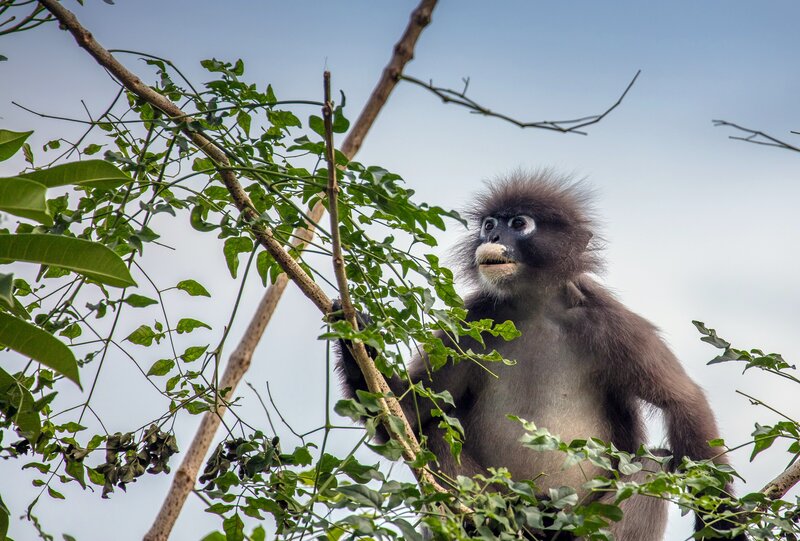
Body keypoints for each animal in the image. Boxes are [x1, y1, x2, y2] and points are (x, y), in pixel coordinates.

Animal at [335, 172, 744, 540]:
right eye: (489, 225)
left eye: (519, 223)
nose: (493, 237)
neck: (534, 309)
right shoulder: (473, 321)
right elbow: (406, 415)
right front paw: (358, 343)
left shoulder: (610, 323)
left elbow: (683, 400)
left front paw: (724, 523)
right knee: (437, 429)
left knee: (652, 461)